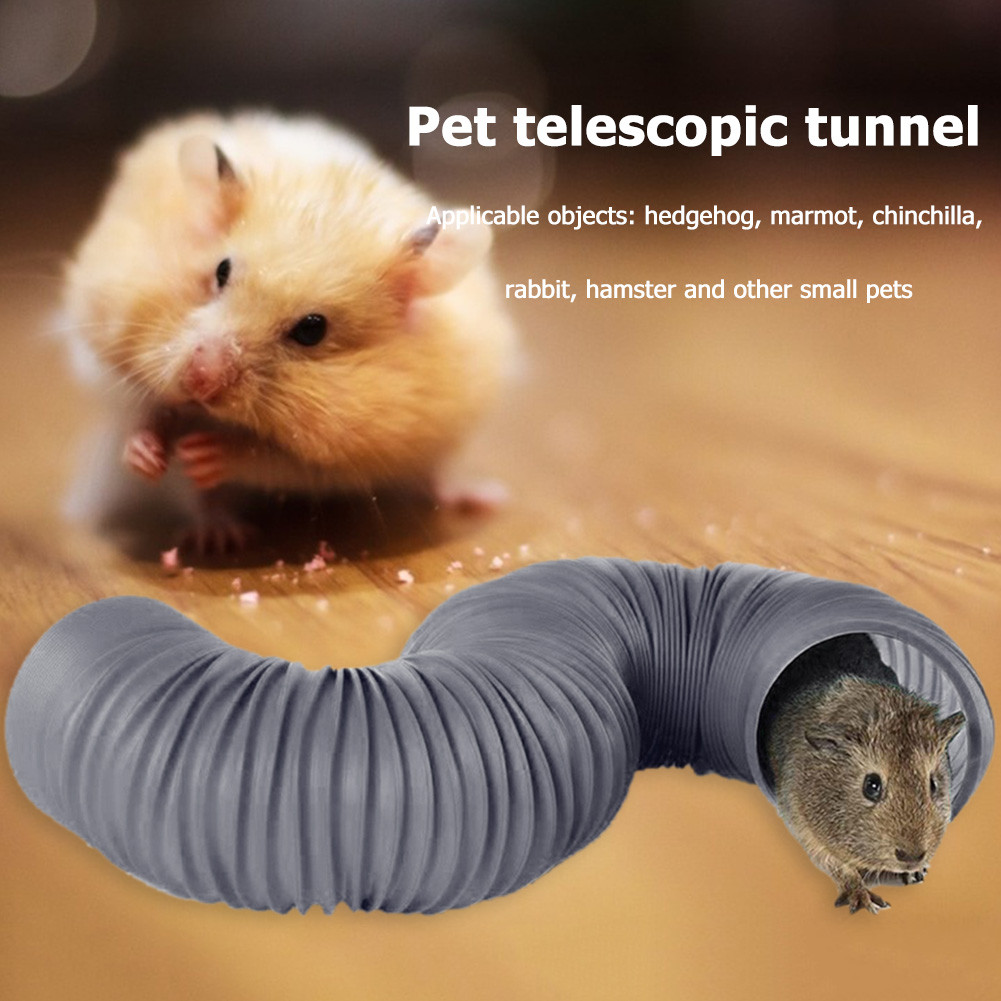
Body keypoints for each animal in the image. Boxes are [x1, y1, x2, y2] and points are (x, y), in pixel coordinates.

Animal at [60, 111, 515, 551]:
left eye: (312, 330)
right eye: (220, 271)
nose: (199, 381)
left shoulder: (350, 454)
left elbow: (277, 462)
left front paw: (205, 453)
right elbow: (141, 412)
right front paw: (145, 454)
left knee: (438, 474)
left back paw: (481, 497)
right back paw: (218, 537)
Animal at [760, 634, 966, 914]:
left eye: (933, 784)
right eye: (871, 785)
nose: (912, 857)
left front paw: (917, 874)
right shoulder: (803, 827)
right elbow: (839, 867)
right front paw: (868, 903)